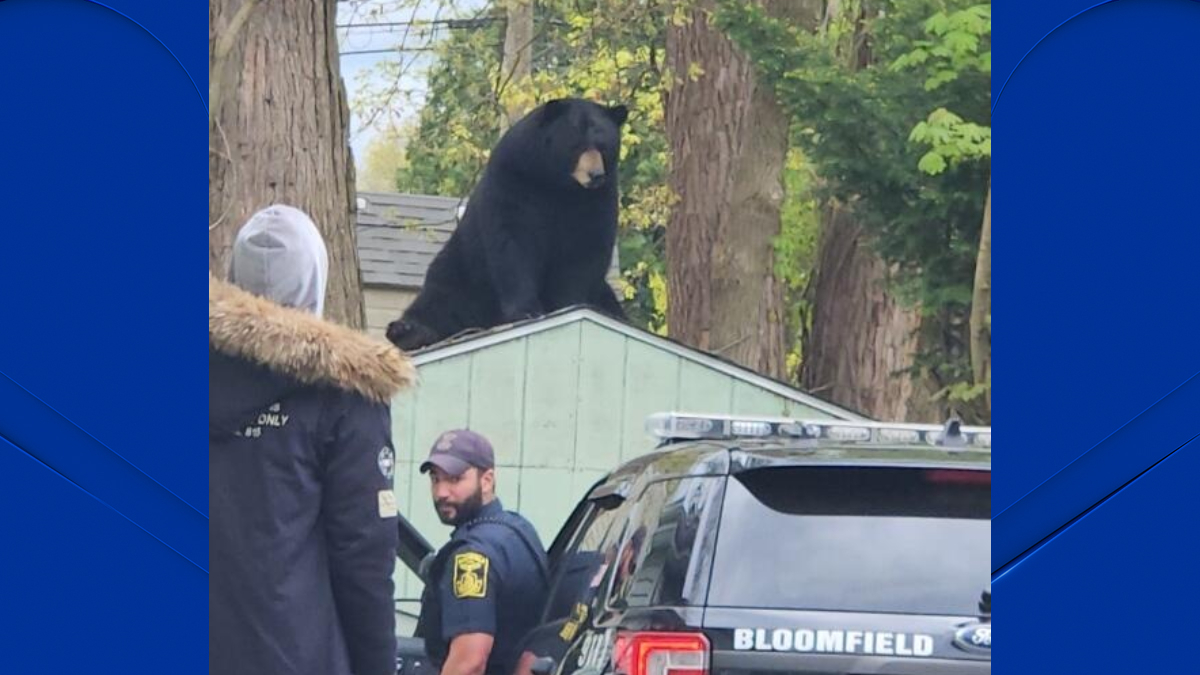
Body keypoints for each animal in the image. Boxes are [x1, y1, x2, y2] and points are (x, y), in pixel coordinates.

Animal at [386, 98, 629, 351]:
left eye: (604, 147)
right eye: (577, 145)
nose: (595, 175)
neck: (558, 185)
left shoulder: (597, 200)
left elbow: (585, 250)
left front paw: (569, 304)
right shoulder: (514, 180)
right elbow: (513, 242)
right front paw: (526, 311)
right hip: (463, 269)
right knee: (440, 300)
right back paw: (407, 331)